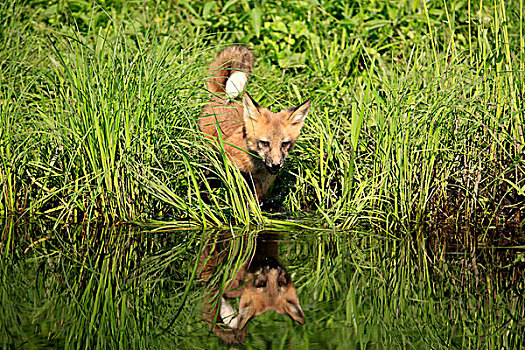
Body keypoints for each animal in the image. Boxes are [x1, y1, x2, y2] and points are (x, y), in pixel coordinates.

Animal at [196, 45, 312, 201]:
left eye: (284, 144)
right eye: (265, 143)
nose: (276, 165)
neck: (255, 168)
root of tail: (220, 95)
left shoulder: (262, 188)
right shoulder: (233, 168)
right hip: (208, 157)